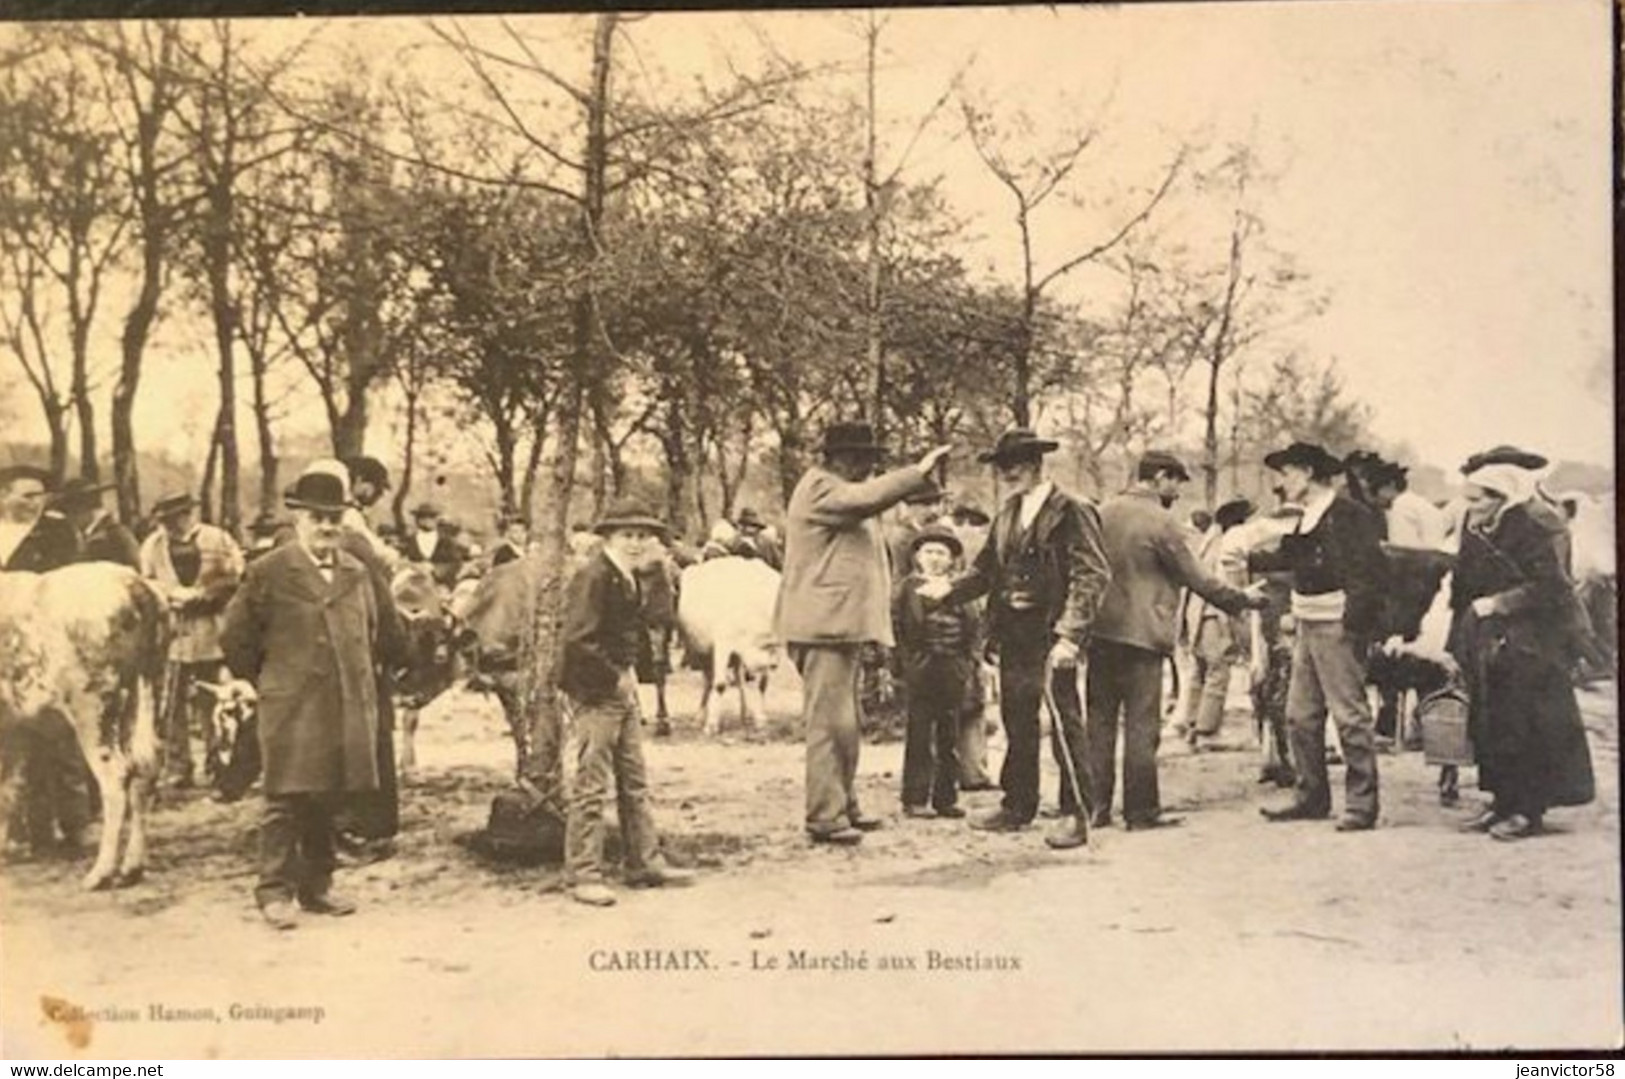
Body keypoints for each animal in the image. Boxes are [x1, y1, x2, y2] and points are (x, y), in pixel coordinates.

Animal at [679, 555, 780, 734]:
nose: (775, 664)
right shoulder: (722, 645)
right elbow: (719, 684)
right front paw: (711, 725)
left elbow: (755, 685)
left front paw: (759, 719)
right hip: (701, 650)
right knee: (709, 681)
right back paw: (699, 718)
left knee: (738, 681)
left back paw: (743, 714)